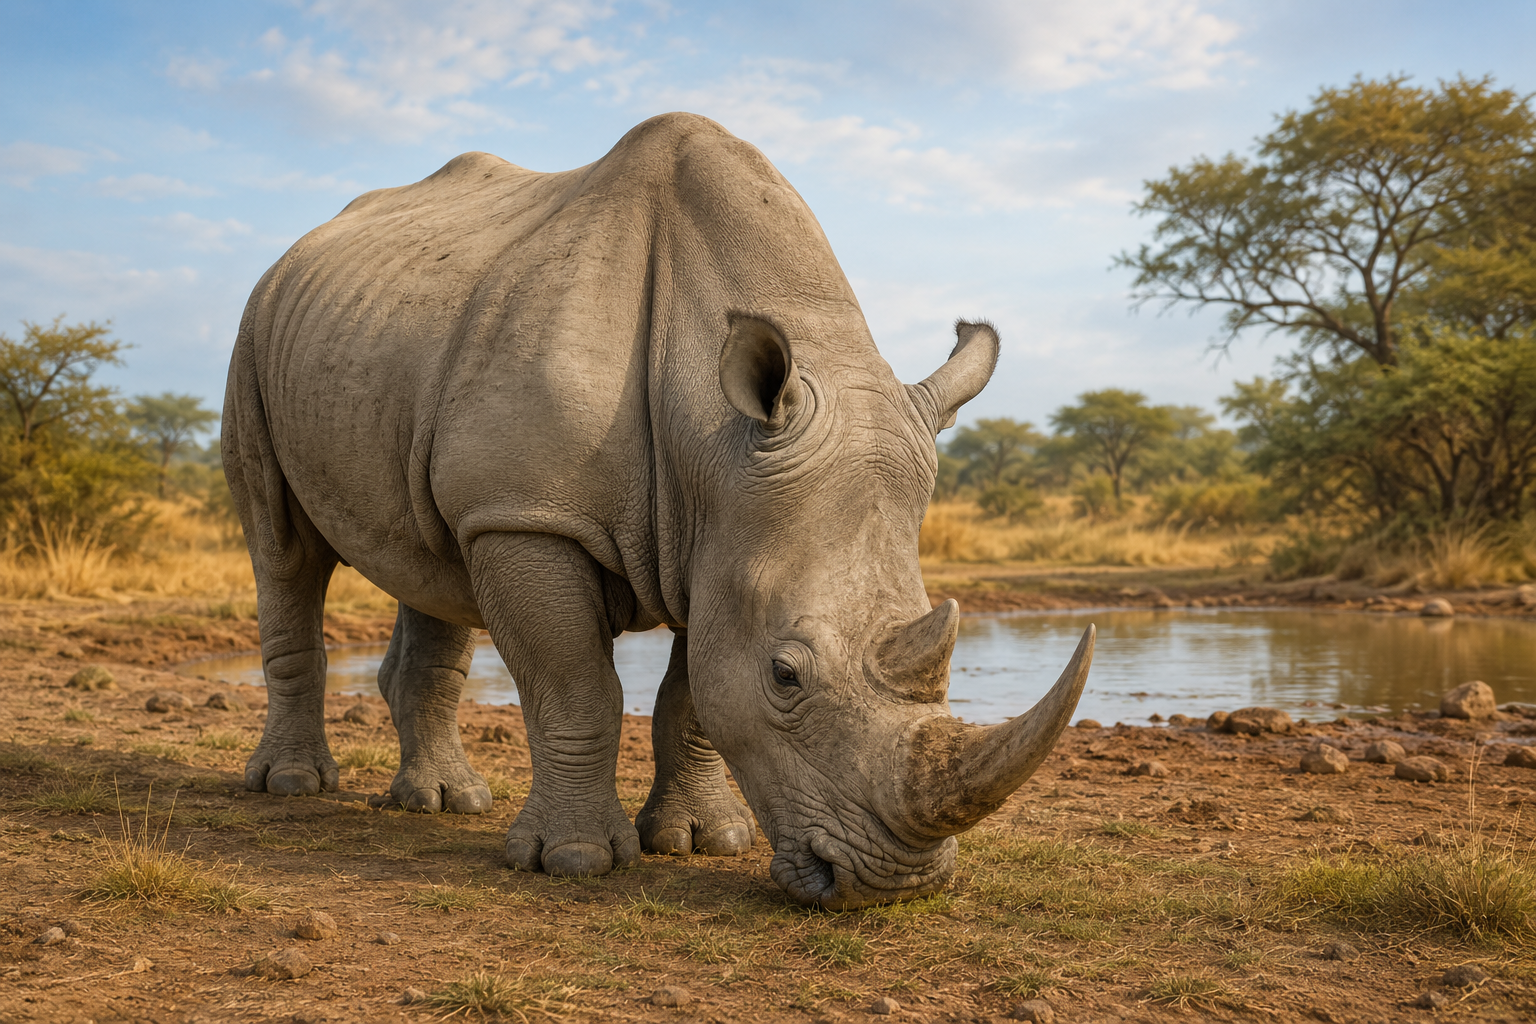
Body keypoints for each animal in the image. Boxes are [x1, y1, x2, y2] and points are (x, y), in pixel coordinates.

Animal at [223, 112, 1093, 909]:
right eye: (786, 676)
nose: (893, 884)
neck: (711, 437)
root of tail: (305, 245)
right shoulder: (530, 514)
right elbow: (576, 683)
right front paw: (574, 861)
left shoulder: (715, 531)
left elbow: (695, 695)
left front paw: (702, 841)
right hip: (255, 331)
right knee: (283, 546)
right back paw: (294, 784)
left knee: (431, 563)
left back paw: (444, 802)